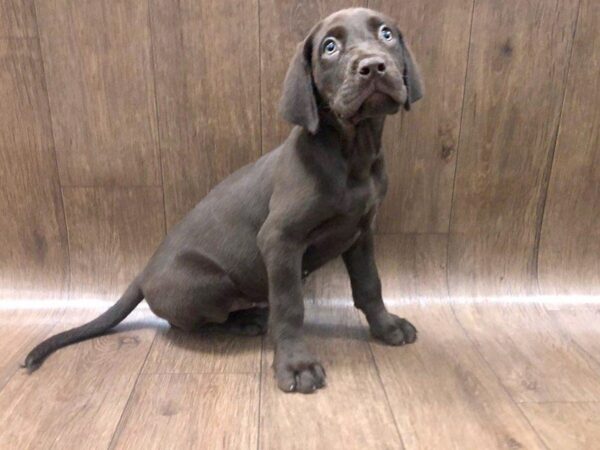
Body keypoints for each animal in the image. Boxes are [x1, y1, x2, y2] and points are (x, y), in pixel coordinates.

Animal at [25, 7, 424, 394]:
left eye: (386, 34)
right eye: (330, 47)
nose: (373, 66)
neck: (353, 155)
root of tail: (143, 274)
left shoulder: (361, 232)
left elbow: (370, 285)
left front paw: (386, 328)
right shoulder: (280, 240)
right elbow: (290, 306)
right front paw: (296, 365)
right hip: (209, 285)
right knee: (186, 323)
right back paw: (247, 319)